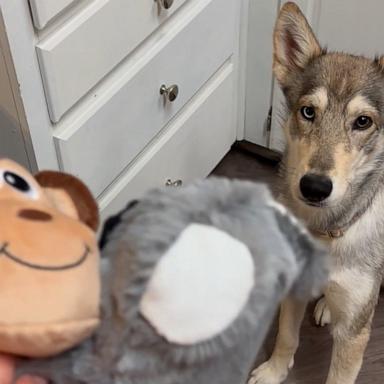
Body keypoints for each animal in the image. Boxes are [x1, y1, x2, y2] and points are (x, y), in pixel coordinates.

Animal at [248, 1, 384, 382]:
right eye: (308, 112)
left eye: (363, 122)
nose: (315, 187)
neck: (325, 231)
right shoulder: (294, 284)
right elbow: (286, 338)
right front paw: (274, 372)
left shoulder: (355, 332)